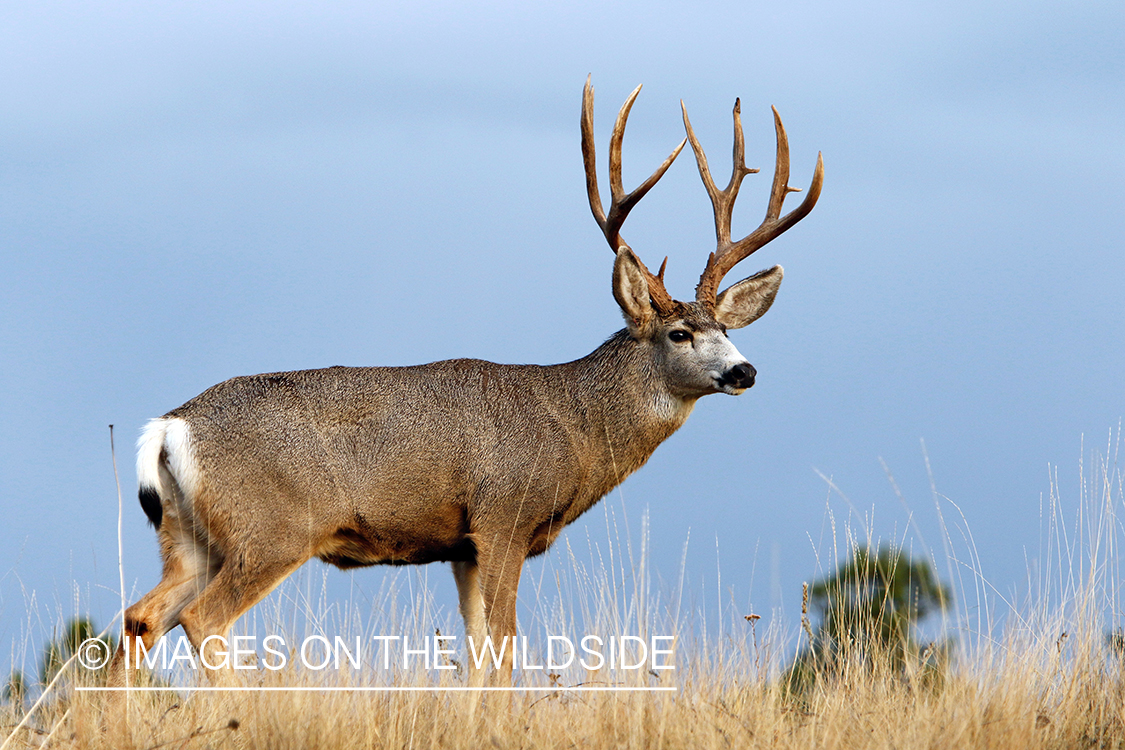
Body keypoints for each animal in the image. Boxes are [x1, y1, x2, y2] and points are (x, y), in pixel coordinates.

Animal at [109, 78, 822, 686]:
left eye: (727, 328)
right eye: (679, 333)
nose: (744, 370)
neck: (575, 423)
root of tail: (170, 426)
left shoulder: (462, 546)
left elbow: (476, 653)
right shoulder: (503, 515)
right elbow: (503, 649)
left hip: (191, 537)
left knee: (142, 616)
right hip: (273, 529)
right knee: (201, 619)